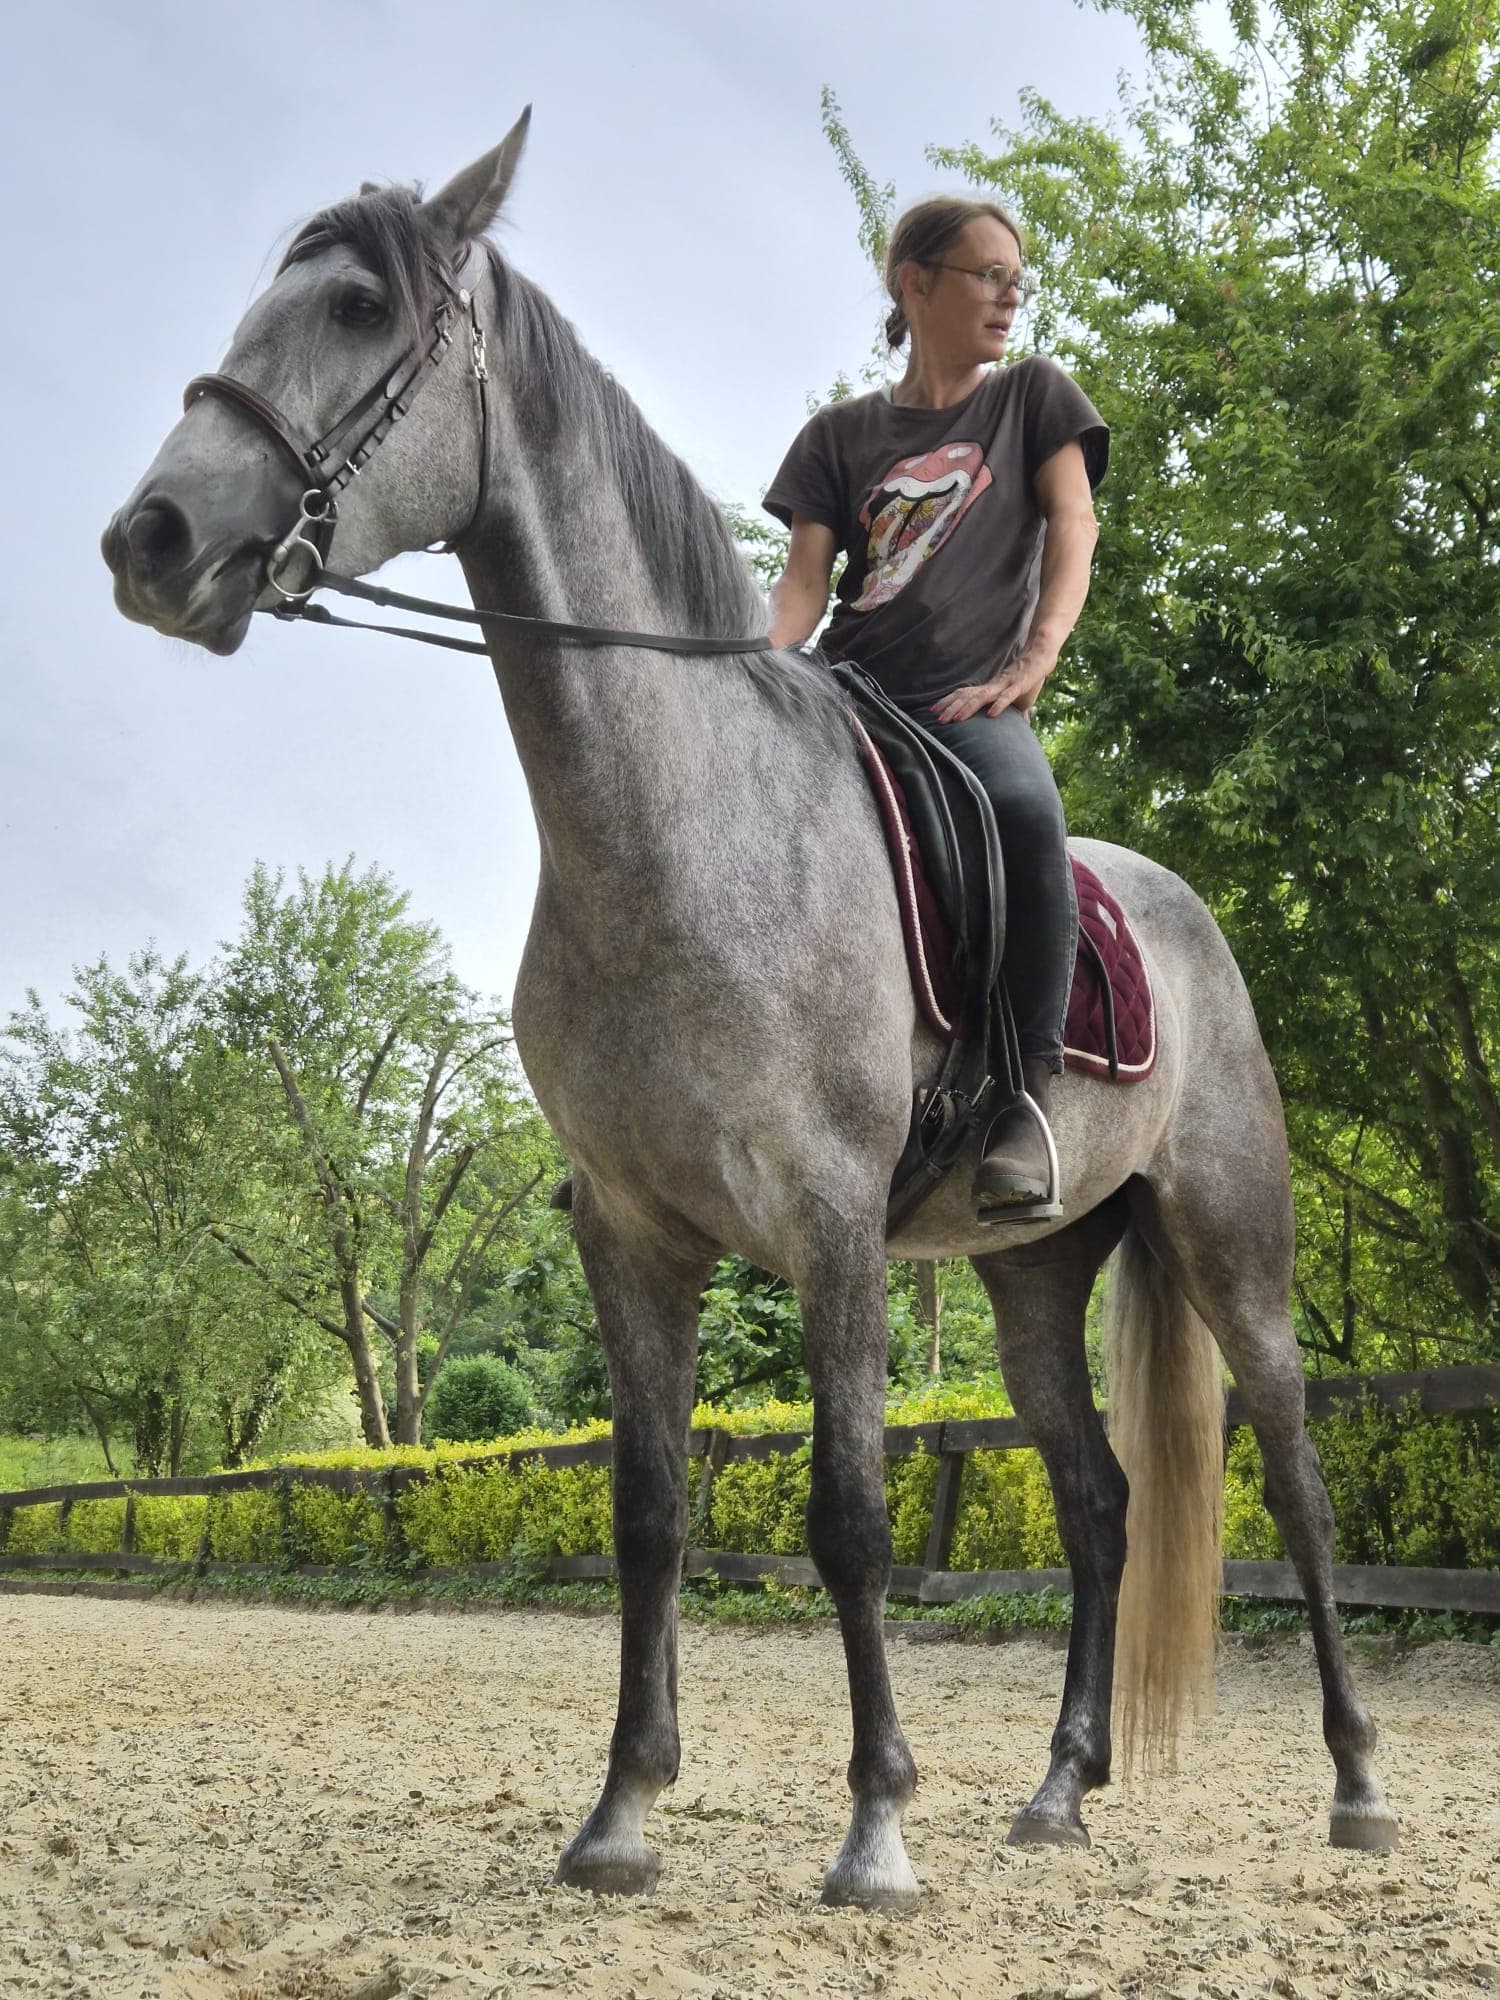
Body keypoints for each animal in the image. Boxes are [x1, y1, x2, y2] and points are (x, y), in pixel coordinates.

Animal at [101, 113, 1397, 1908]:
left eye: (359, 307)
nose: (150, 541)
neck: (680, 830)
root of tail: (1187, 913)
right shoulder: (635, 1233)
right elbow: (649, 1510)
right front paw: (620, 1817)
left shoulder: (832, 1223)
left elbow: (850, 1515)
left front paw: (875, 1830)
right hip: (1032, 1277)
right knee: (1097, 1500)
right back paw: (1060, 1789)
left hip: (1228, 1238)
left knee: (1294, 1473)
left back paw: (1356, 1783)